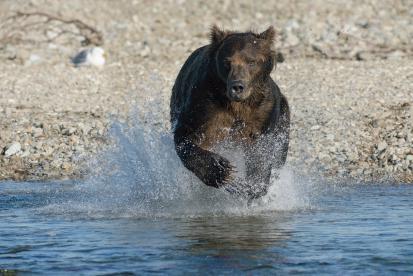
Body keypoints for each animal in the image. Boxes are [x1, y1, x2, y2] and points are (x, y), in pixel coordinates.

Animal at [169, 25, 288, 198]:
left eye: (251, 61)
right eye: (227, 62)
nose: (237, 86)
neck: (237, 105)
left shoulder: (262, 114)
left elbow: (261, 153)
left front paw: (254, 186)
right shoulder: (203, 106)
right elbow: (186, 138)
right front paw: (222, 170)